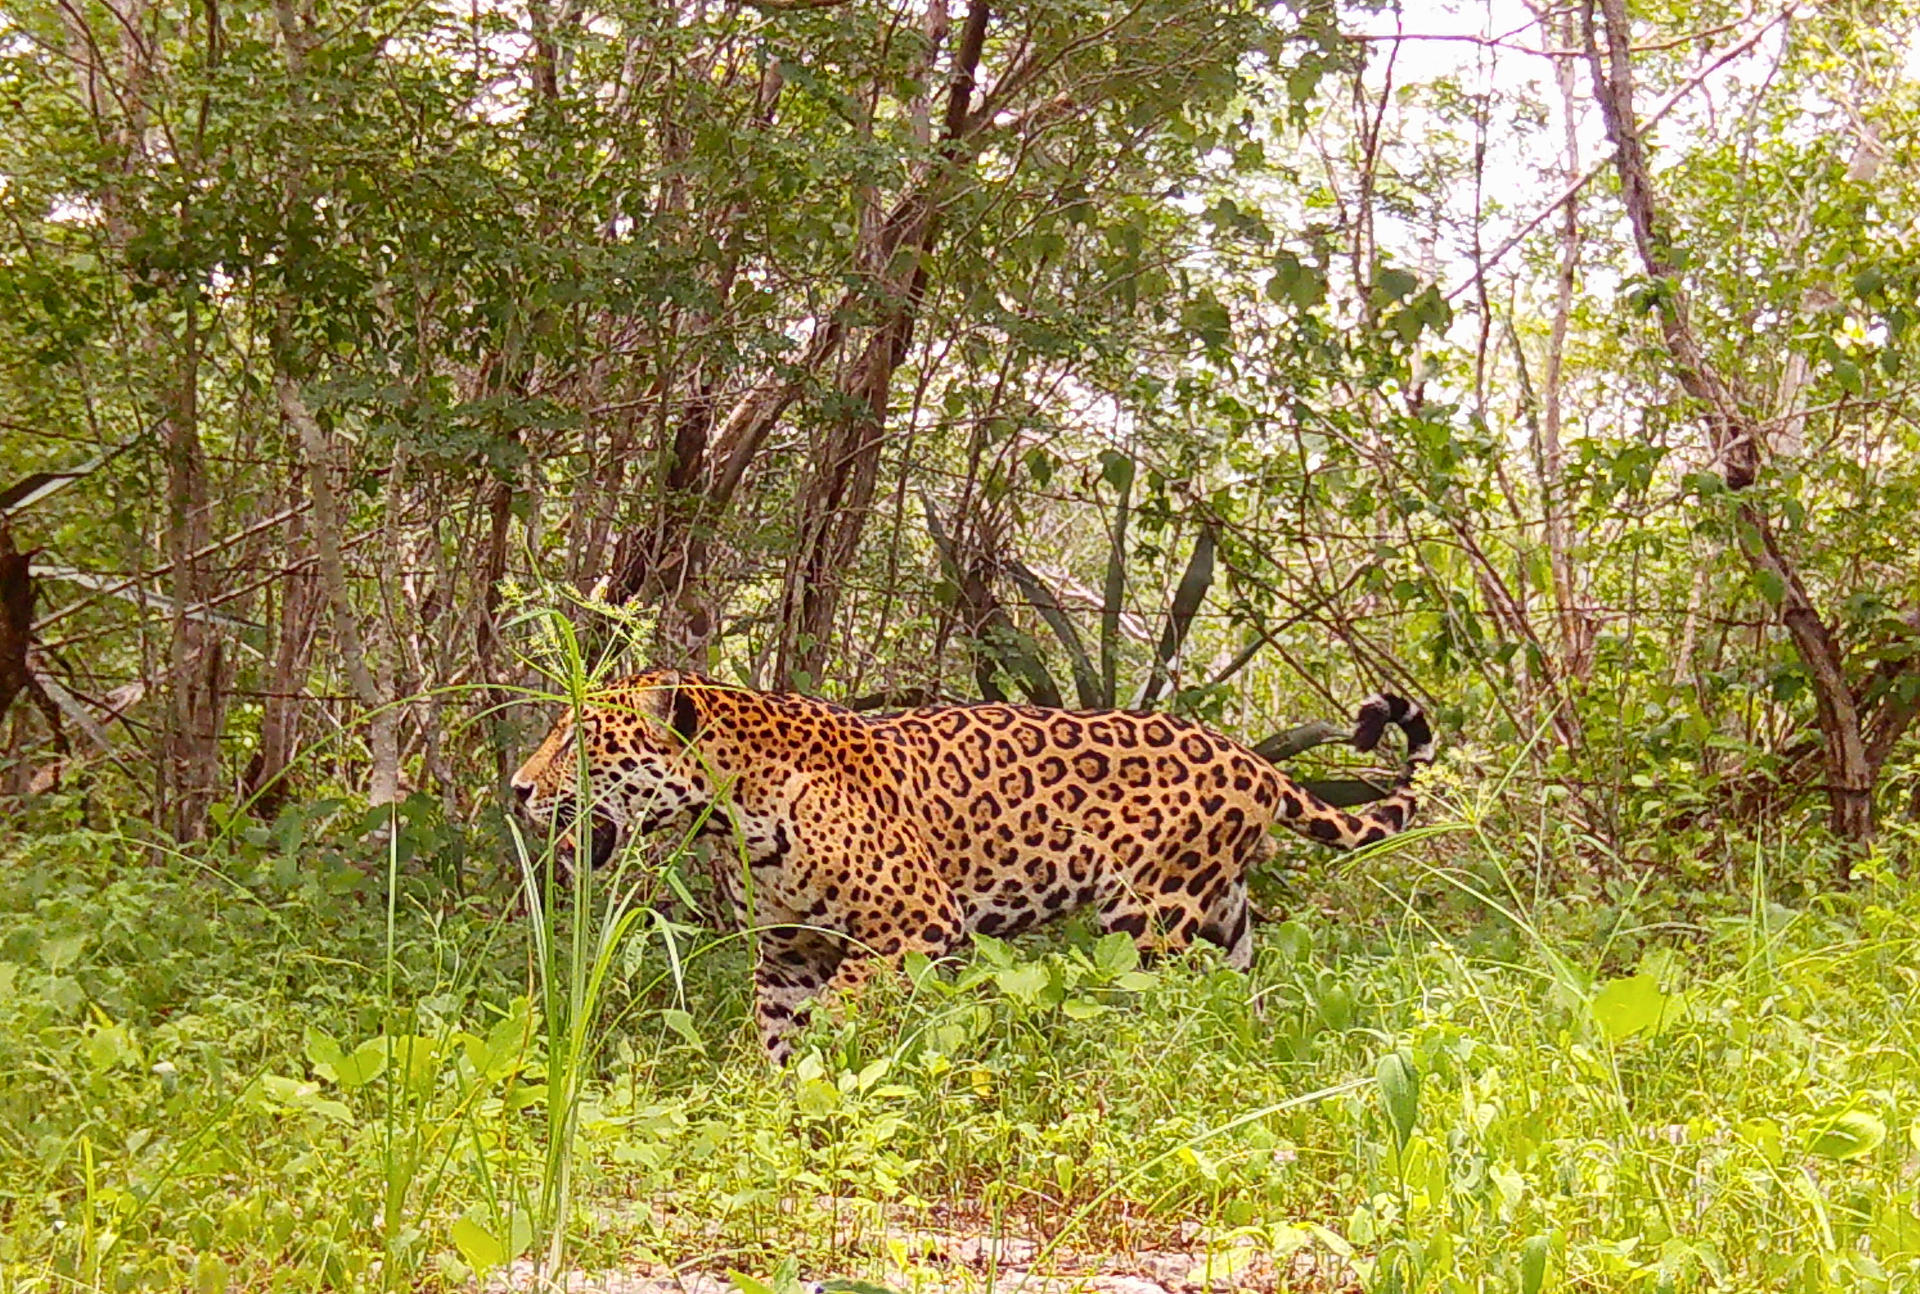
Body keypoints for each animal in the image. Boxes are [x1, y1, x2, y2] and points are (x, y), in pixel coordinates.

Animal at [510, 669, 1434, 1062]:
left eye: (583, 740)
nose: (516, 789)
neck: (730, 811)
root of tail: (1254, 760)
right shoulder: (787, 953)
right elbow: (776, 1034)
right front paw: (777, 1105)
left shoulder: (916, 926)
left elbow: (843, 1009)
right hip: (1222, 915)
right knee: (1238, 1002)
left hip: (1149, 916)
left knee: (1160, 1010)